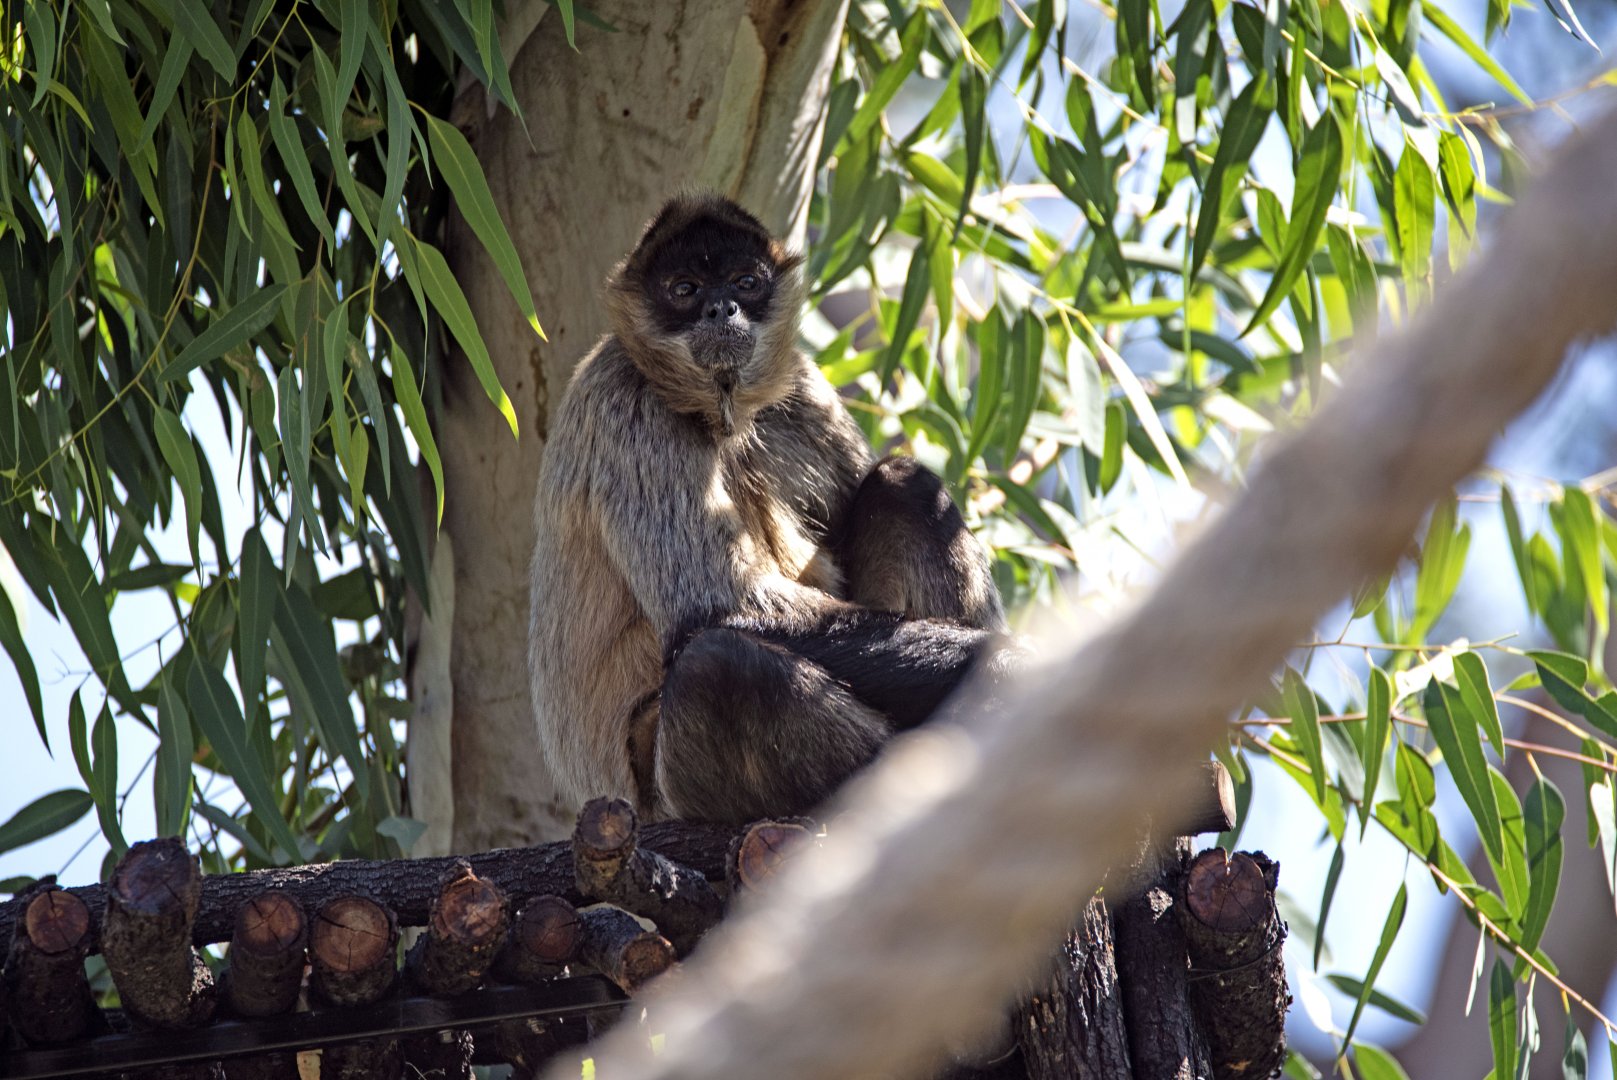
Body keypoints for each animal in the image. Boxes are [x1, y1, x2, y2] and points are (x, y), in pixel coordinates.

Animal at [529, 193, 1009, 825]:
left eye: (745, 281)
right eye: (684, 289)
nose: (721, 308)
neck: (719, 413)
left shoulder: (802, 388)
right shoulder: (627, 402)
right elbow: (721, 613)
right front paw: (1012, 665)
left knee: (901, 483)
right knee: (718, 668)